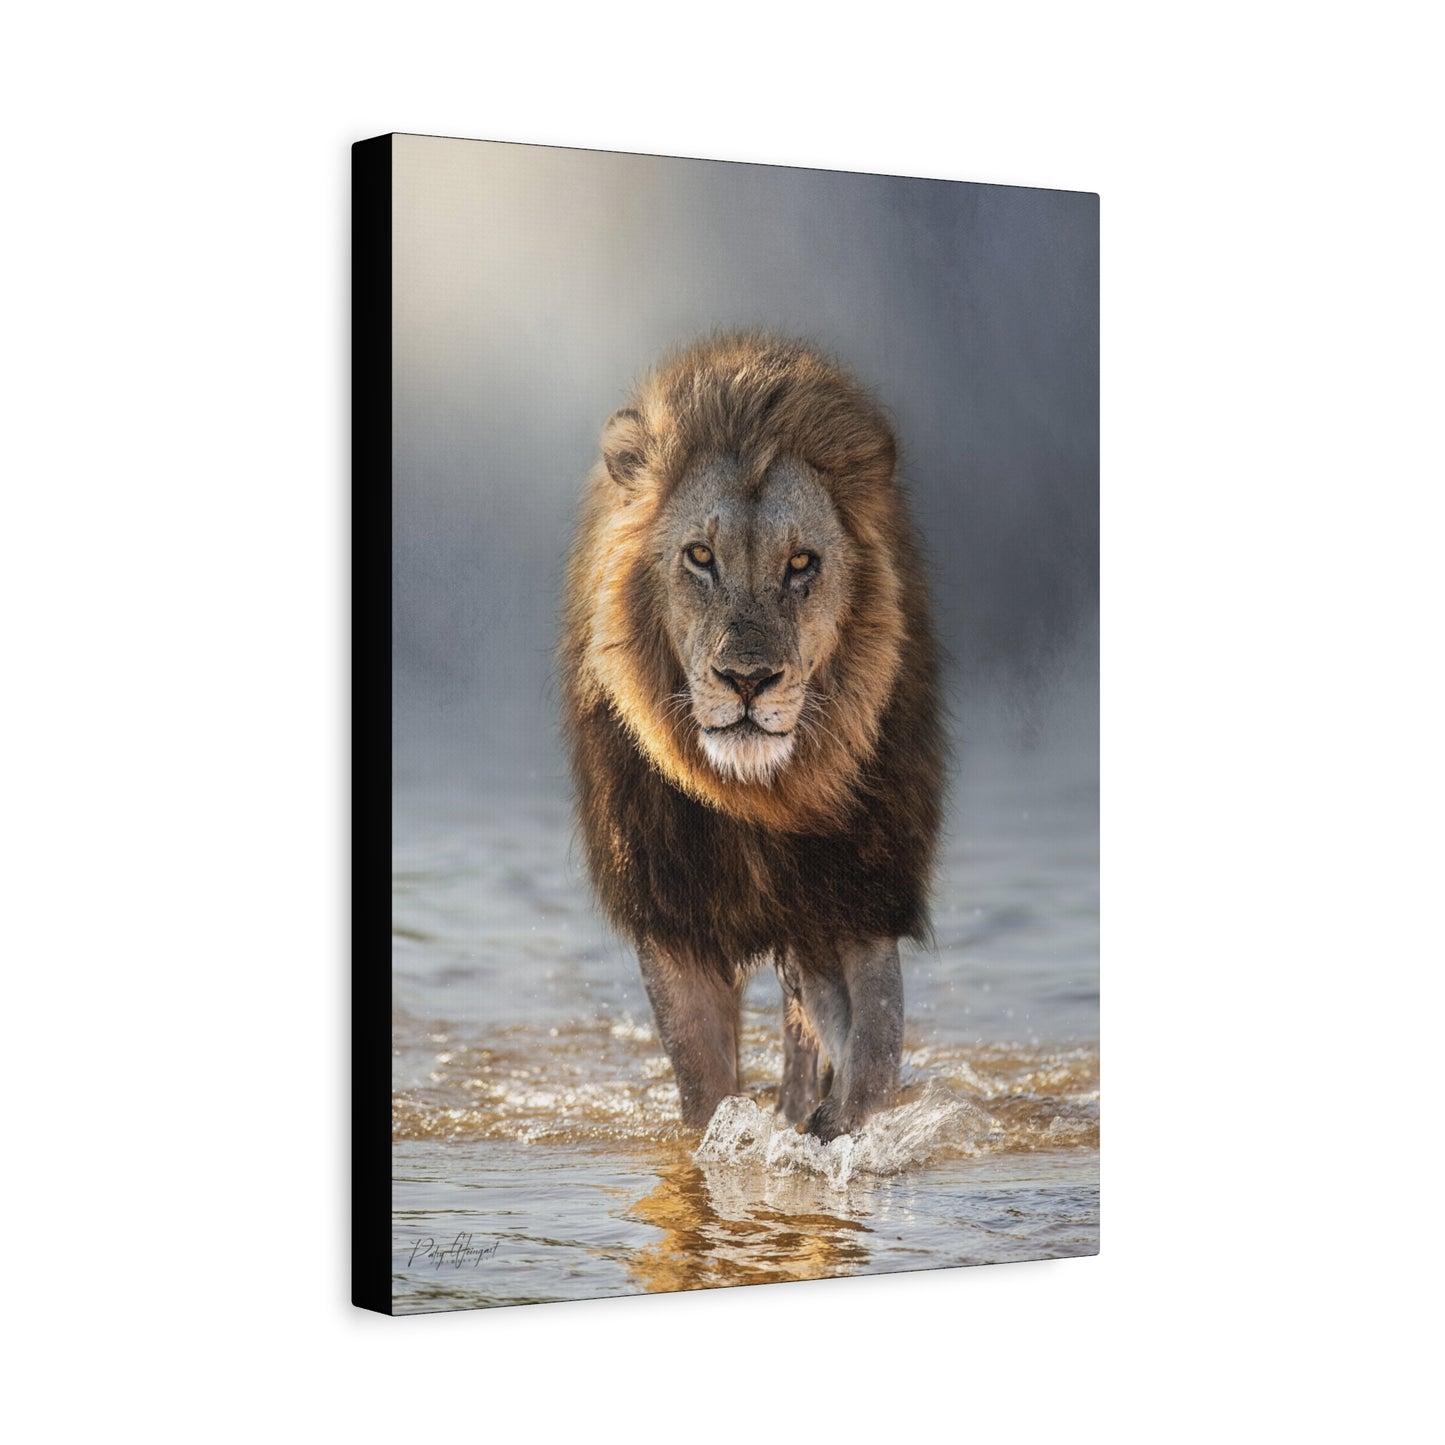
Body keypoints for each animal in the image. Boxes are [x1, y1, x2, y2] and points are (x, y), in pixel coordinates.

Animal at [560, 332, 944, 1142]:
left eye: (802, 564)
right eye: (700, 557)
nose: (746, 679)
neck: (760, 797)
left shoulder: (859, 894)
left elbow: (872, 1060)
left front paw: (831, 1134)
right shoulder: (671, 914)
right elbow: (705, 1087)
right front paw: (728, 1140)